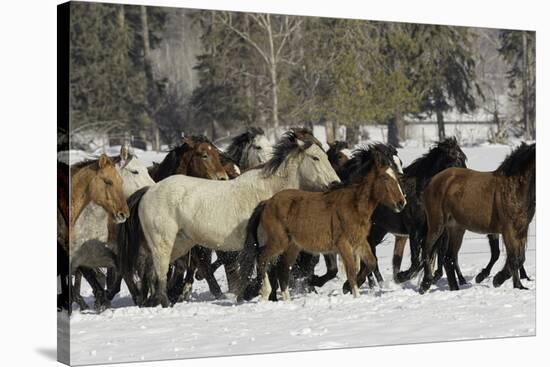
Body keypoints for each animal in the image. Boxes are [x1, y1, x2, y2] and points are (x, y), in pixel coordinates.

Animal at [121, 129, 340, 308]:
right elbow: (265, 273)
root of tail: (148, 190)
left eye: (326, 155)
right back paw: (164, 302)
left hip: (179, 244)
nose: (336, 184)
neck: (270, 191)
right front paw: (257, 294)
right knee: (160, 272)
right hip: (163, 243)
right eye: (315, 158)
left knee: (153, 271)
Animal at [243, 148, 410, 304]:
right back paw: (265, 292)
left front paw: (348, 287)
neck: (353, 206)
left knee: (282, 269)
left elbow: (370, 263)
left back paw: (286, 300)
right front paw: (354, 294)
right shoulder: (344, 244)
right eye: (385, 178)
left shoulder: (360, 242)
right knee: (262, 258)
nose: (402, 203)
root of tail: (266, 203)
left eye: (397, 177)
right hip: (279, 242)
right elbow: (351, 271)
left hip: (292, 247)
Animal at [420, 142, 536, 294]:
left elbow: (519, 258)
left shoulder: (522, 229)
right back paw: (426, 283)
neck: (515, 186)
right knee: (427, 248)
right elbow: (513, 259)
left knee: (449, 258)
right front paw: (502, 281)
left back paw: (455, 288)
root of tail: (432, 181)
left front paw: (514, 284)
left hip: (456, 228)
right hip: (437, 224)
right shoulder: (509, 230)